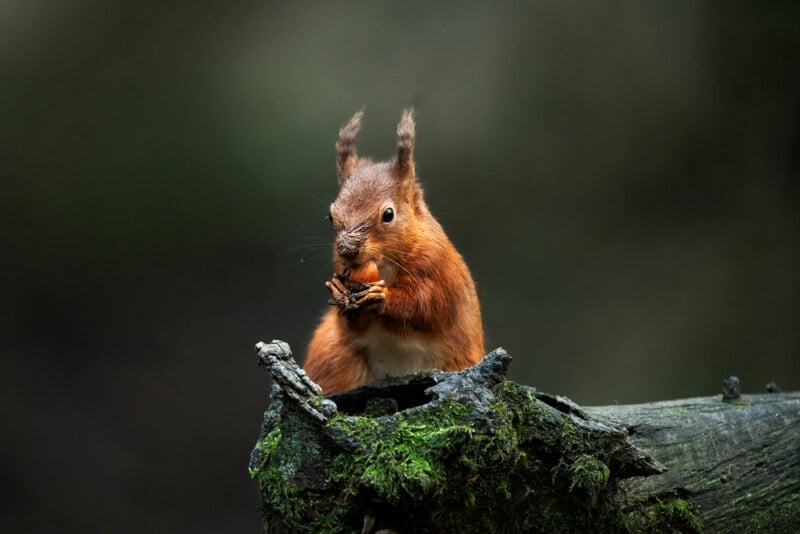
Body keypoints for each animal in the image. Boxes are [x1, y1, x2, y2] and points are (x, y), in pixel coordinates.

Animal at [304, 110, 484, 394]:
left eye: (388, 214)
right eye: (331, 216)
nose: (346, 250)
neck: (383, 265)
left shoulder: (439, 270)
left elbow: (425, 306)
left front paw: (380, 297)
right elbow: (352, 326)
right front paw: (339, 291)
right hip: (335, 356)